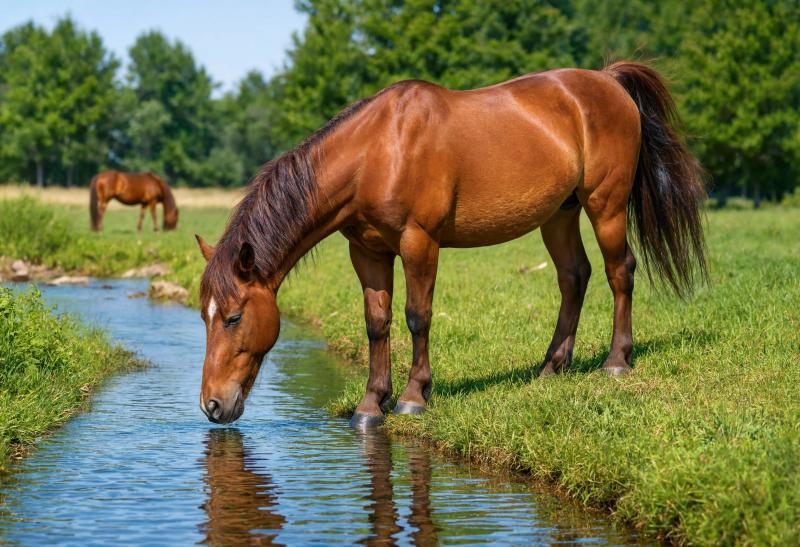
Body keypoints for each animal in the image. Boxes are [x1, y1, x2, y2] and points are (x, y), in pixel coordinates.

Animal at [195, 62, 707, 429]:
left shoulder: (419, 242)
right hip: (560, 213)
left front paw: (413, 396)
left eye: (234, 317)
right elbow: (376, 324)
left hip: (606, 206)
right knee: (573, 277)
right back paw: (552, 366)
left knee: (620, 271)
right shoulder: (368, 252)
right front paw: (370, 404)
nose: (212, 405)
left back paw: (617, 362)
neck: (377, 151)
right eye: (205, 316)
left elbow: (417, 316)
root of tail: (607, 81)